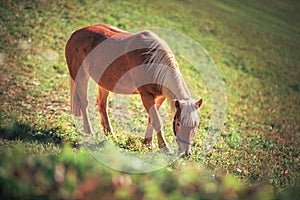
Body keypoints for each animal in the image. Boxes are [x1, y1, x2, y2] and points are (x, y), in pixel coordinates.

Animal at [64, 23, 203, 156]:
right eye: (178, 123)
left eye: (195, 125)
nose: (186, 153)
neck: (152, 62)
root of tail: (75, 33)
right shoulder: (146, 96)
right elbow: (156, 121)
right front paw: (164, 147)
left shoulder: (159, 98)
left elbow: (151, 119)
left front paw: (148, 143)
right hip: (81, 76)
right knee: (84, 103)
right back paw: (89, 132)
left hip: (104, 83)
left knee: (102, 105)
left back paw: (110, 134)